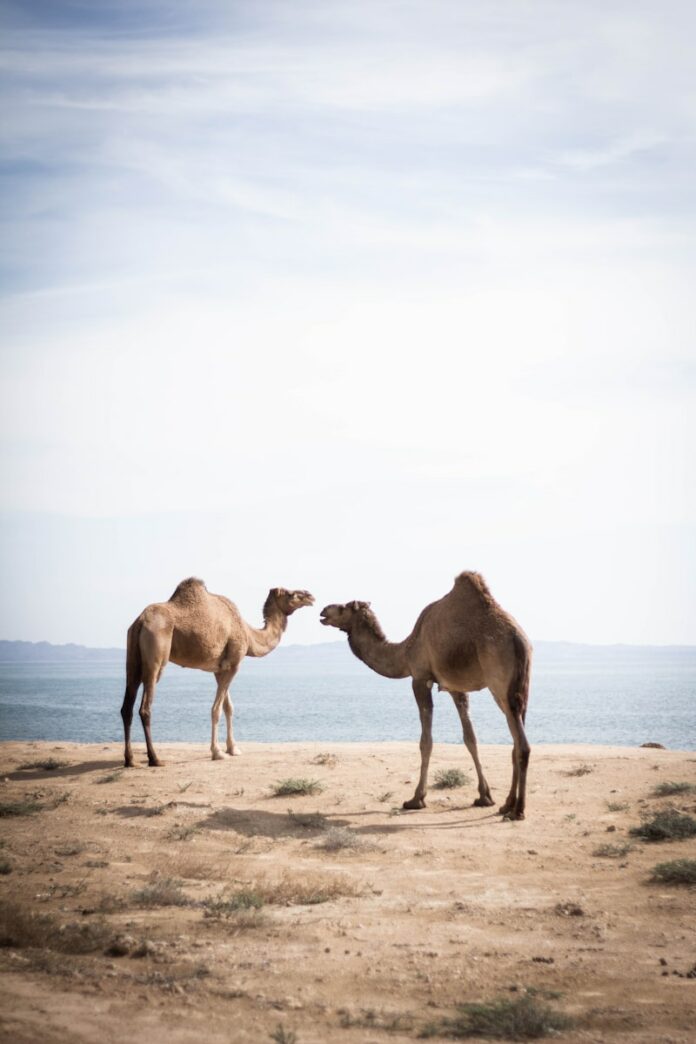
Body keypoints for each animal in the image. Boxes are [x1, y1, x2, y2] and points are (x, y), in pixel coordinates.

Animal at [121, 578, 314, 767]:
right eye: (291, 594)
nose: (310, 596)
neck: (248, 633)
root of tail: (141, 622)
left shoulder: (220, 669)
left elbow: (228, 707)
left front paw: (233, 748)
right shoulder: (234, 664)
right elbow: (216, 709)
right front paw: (217, 752)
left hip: (132, 658)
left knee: (126, 707)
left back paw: (130, 760)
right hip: (156, 657)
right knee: (145, 708)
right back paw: (155, 759)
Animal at [320, 571, 532, 819]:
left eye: (343, 607)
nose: (323, 611)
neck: (405, 651)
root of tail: (519, 641)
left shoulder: (420, 678)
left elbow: (426, 741)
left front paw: (416, 798)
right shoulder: (455, 687)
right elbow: (470, 738)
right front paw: (484, 796)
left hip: (499, 684)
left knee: (522, 744)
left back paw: (518, 810)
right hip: (521, 688)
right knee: (516, 740)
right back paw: (507, 804)